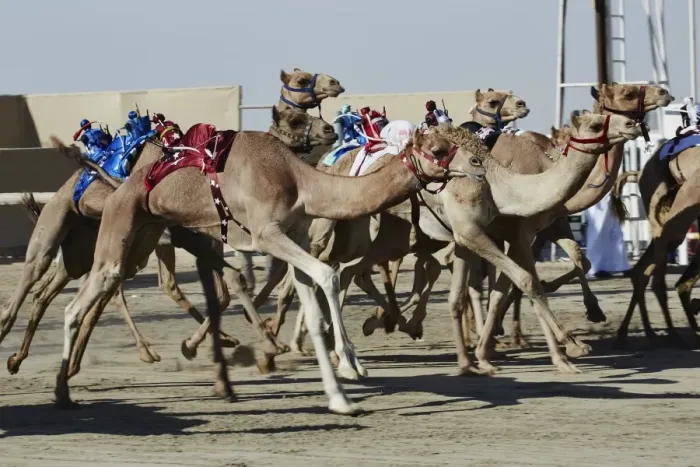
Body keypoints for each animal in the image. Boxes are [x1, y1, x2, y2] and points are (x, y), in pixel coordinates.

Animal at [2, 105, 333, 375]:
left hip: (83, 249)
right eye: (295, 119)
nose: (329, 129)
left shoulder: (200, 238)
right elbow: (227, 285)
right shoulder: (189, 235)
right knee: (38, 278)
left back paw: (27, 359)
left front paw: (244, 340)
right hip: (62, 233)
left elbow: (231, 282)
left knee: (52, 293)